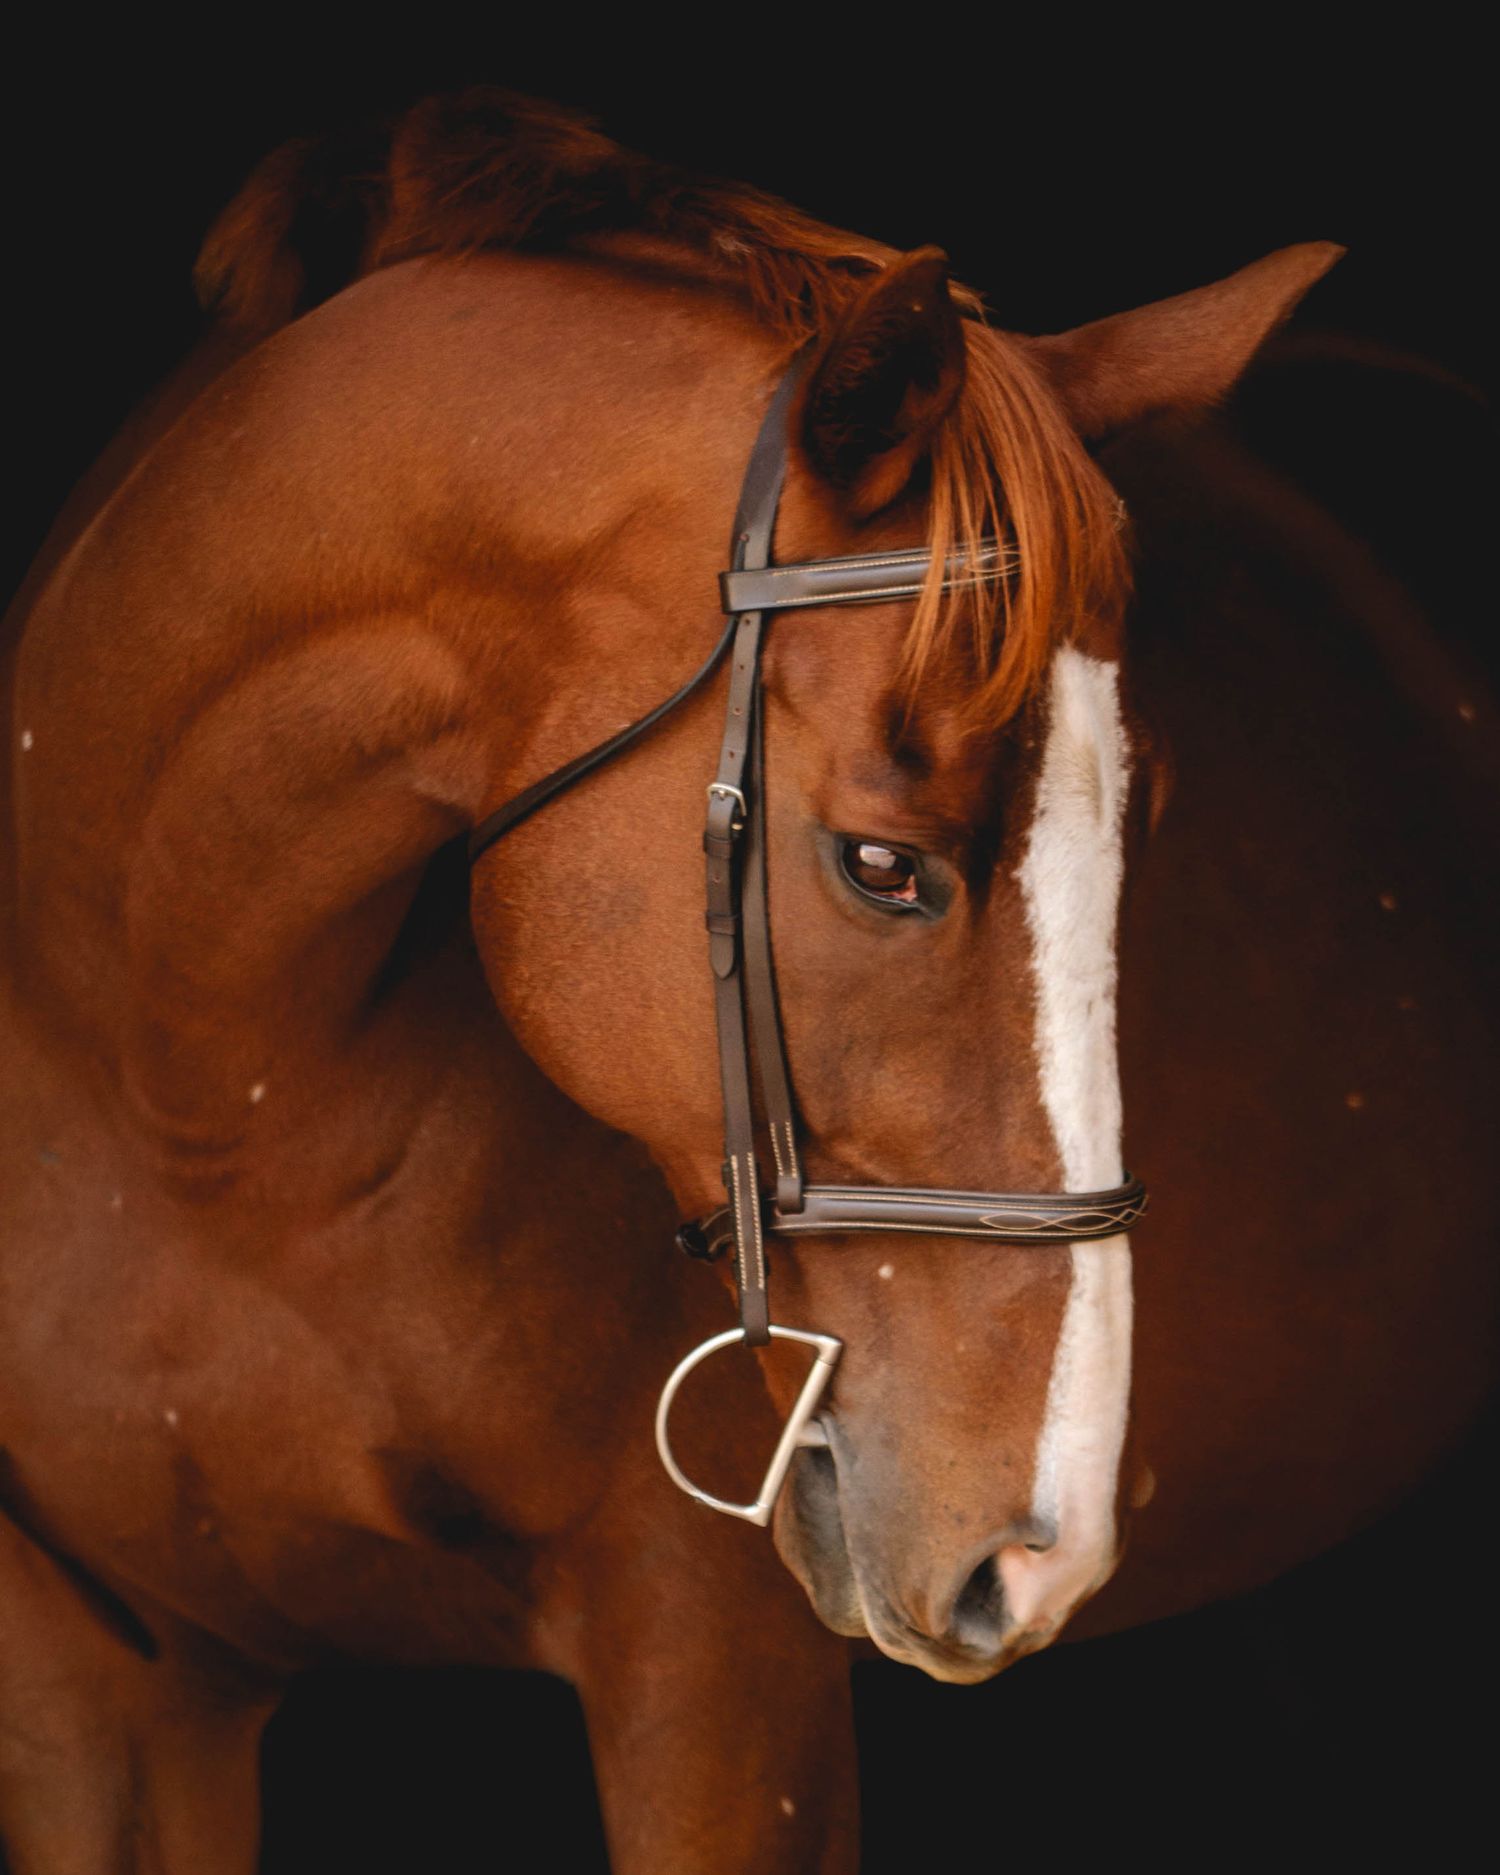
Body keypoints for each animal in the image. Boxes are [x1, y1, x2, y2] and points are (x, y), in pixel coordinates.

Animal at [2, 89, 1495, 1873]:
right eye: (880, 864)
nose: (1039, 1545)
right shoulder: (96, 1682)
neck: (199, 1109)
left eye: (1146, 825)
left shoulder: (714, 1672)